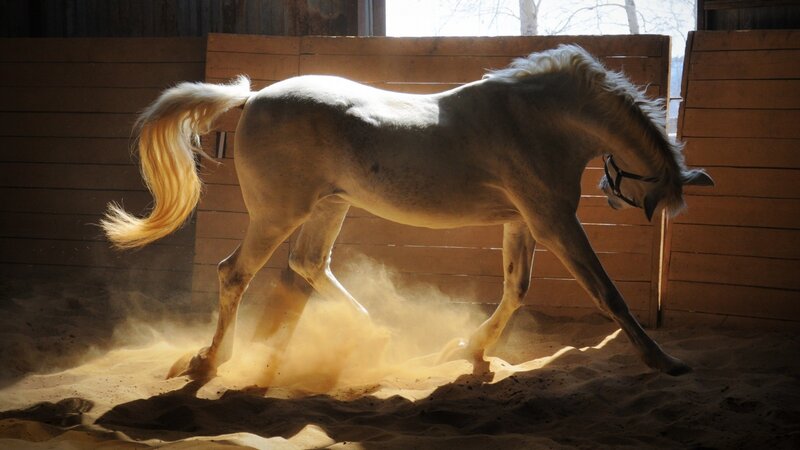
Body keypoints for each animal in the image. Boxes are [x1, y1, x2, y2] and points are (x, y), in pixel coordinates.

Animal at [102, 45, 713, 383]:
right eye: (654, 197)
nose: (618, 197)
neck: (537, 118)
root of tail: (252, 99)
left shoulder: (522, 223)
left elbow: (516, 289)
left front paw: (468, 350)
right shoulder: (554, 221)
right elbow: (607, 294)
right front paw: (664, 361)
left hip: (329, 207)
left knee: (308, 265)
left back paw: (375, 335)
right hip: (277, 214)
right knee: (236, 273)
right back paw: (209, 362)